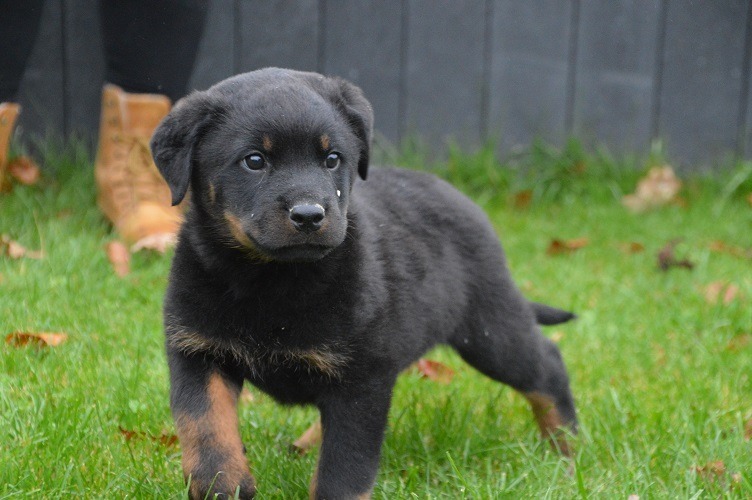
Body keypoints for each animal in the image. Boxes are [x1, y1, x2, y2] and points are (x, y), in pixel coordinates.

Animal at [151, 67, 576, 500]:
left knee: (547, 366)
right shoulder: (197, 350)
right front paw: (223, 484)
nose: (309, 215)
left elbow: (345, 467)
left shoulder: (363, 378)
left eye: (332, 159)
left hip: (489, 328)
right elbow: (205, 425)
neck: (271, 279)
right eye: (254, 160)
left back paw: (565, 451)